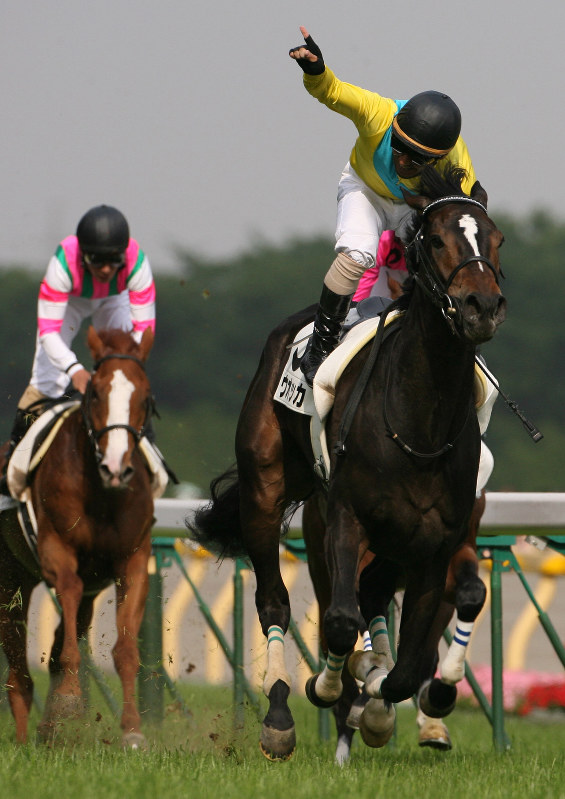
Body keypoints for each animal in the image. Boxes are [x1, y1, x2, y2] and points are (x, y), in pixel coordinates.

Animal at [0, 326, 156, 748]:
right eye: (97, 393)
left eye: (144, 396)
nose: (117, 467)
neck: (102, 492)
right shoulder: (59, 553)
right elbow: (66, 646)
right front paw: (69, 701)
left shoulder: (131, 561)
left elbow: (125, 650)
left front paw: (132, 730)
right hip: (11, 581)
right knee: (18, 667)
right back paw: (25, 736)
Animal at [188, 165, 506, 760]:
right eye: (435, 240)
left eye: (496, 239)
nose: (482, 305)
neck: (420, 417)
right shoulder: (346, 517)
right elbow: (338, 621)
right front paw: (333, 687)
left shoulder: (437, 542)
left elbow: (410, 664)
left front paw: (389, 703)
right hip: (268, 490)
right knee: (275, 601)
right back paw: (282, 714)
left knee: (378, 602)